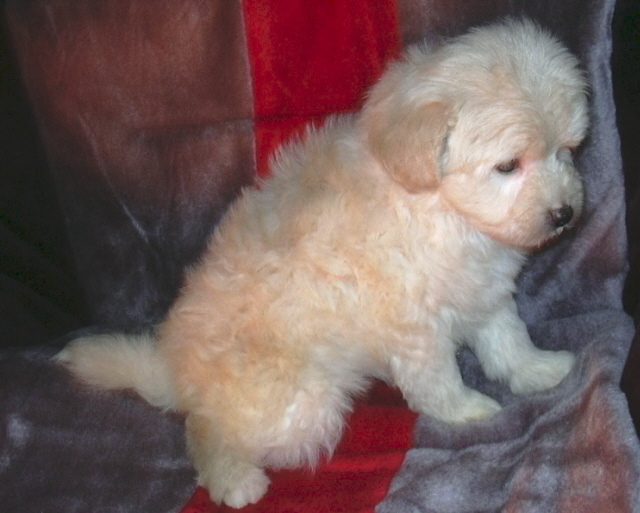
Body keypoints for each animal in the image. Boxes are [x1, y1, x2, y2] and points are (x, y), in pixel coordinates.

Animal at [58, 19, 588, 508]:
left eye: (566, 151)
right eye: (508, 166)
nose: (565, 213)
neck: (439, 206)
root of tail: (177, 374)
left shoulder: (484, 290)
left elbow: (508, 338)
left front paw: (538, 370)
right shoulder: (414, 324)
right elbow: (437, 378)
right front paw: (466, 411)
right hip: (302, 402)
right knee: (207, 429)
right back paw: (234, 480)